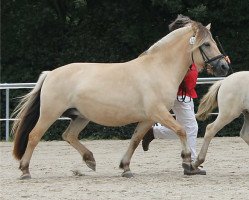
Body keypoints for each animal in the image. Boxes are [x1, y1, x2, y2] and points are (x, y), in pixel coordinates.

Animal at [11, 19, 230, 180]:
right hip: (50, 114)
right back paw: (25, 171)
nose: (224, 66)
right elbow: (182, 130)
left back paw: (90, 160)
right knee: (34, 136)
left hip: (80, 116)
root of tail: (50, 74)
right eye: (206, 44)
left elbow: (135, 140)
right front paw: (187, 161)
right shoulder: (158, 112)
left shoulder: (148, 118)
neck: (158, 68)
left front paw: (126, 168)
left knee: (69, 135)